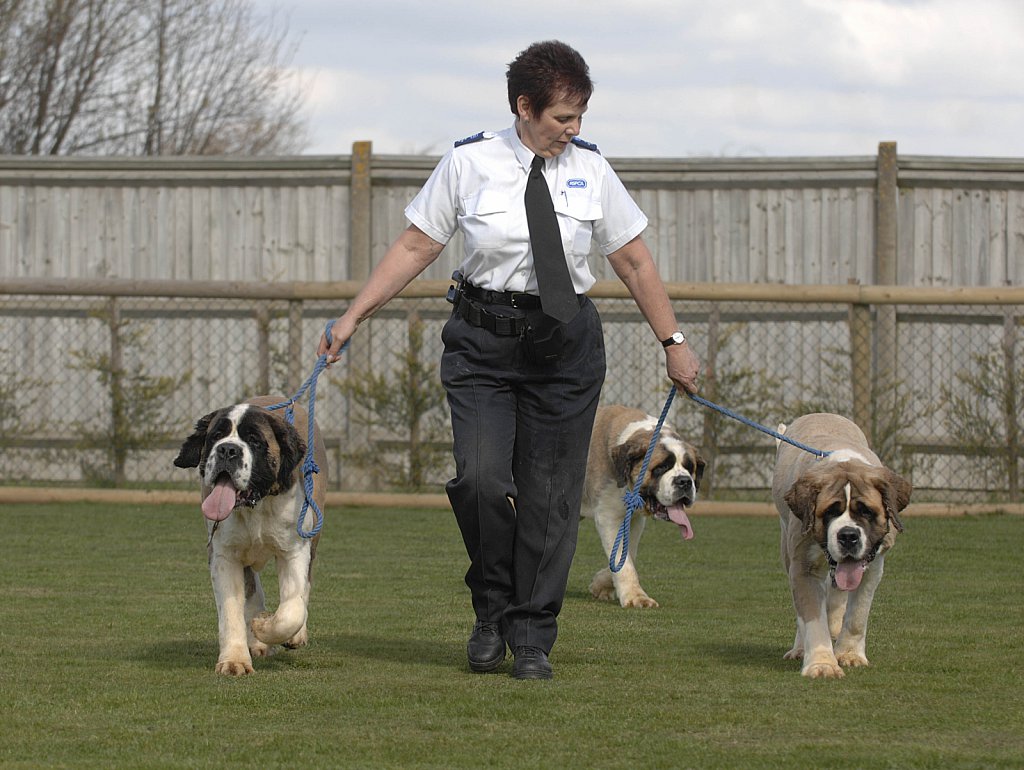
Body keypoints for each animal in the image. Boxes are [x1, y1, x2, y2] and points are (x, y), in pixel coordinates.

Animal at [172, 397, 323, 671]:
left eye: (254, 440)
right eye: (216, 436)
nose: (227, 450)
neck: (256, 506)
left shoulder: (295, 551)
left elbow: (291, 610)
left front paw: (264, 626)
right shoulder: (224, 556)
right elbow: (231, 609)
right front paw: (235, 660)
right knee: (253, 590)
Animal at [585, 403, 704, 606]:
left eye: (690, 468)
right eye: (661, 467)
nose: (684, 482)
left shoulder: (633, 520)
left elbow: (627, 554)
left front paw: (601, 584)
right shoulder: (608, 515)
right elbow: (622, 559)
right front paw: (635, 597)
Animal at [774, 415, 913, 679]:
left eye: (866, 511)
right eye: (830, 512)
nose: (848, 535)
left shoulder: (874, 566)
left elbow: (857, 614)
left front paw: (849, 654)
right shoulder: (803, 567)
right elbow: (812, 619)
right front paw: (821, 664)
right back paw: (800, 648)